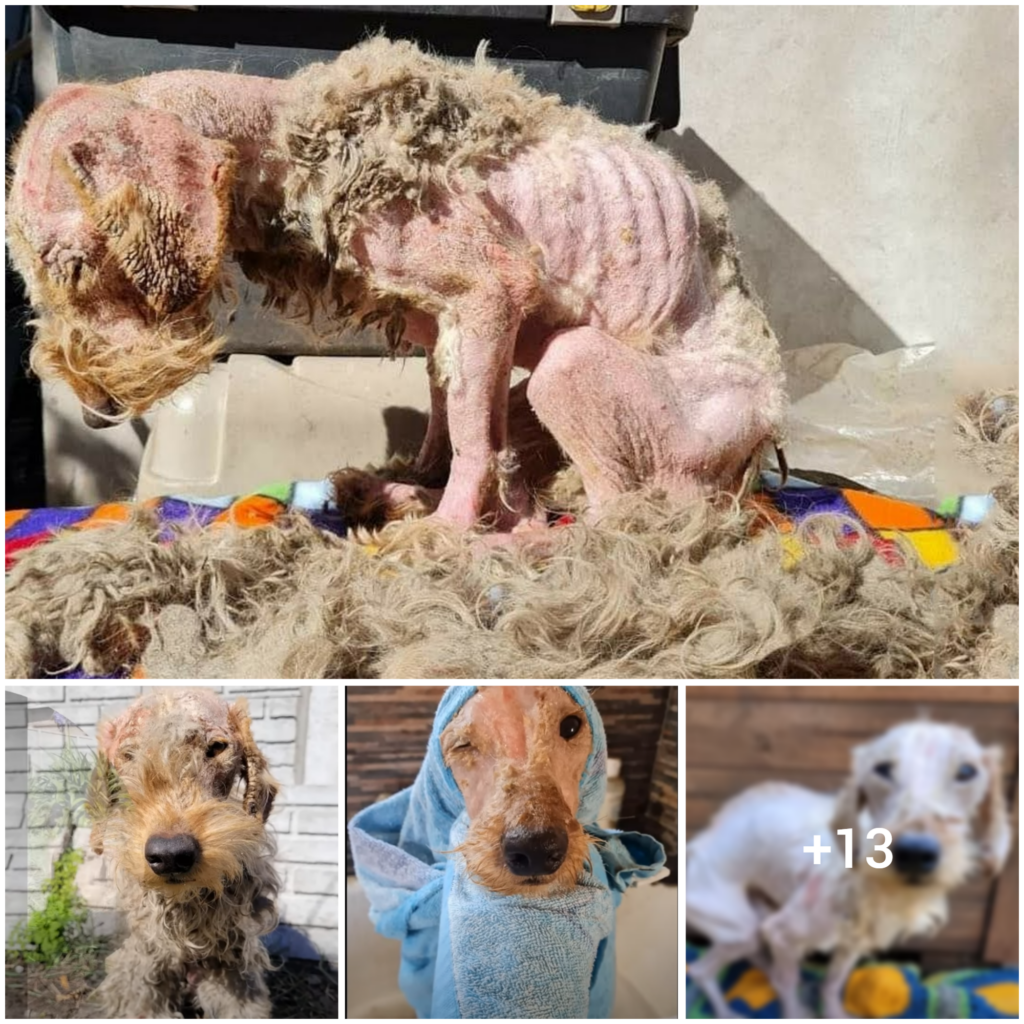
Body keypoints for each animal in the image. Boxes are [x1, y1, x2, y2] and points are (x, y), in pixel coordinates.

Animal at [6, 36, 782, 532]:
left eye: (72, 265)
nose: (94, 413)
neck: (295, 143)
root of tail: (760, 446)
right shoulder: (440, 322)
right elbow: (449, 413)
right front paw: (422, 488)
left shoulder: (486, 294)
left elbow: (470, 434)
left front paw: (450, 527)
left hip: (580, 370)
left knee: (624, 513)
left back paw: (535, 540)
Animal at [684, 720, 1011, 1015]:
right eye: (882, 769)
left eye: (967, 771)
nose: (915, 853)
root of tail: (698, 843)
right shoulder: (780, 934)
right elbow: (786, 985)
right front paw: (797, 1011)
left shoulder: (852, 943)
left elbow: (830, 986)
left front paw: (832, 1013)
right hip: (743, 929)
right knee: (700, 970)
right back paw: (726, 1012)